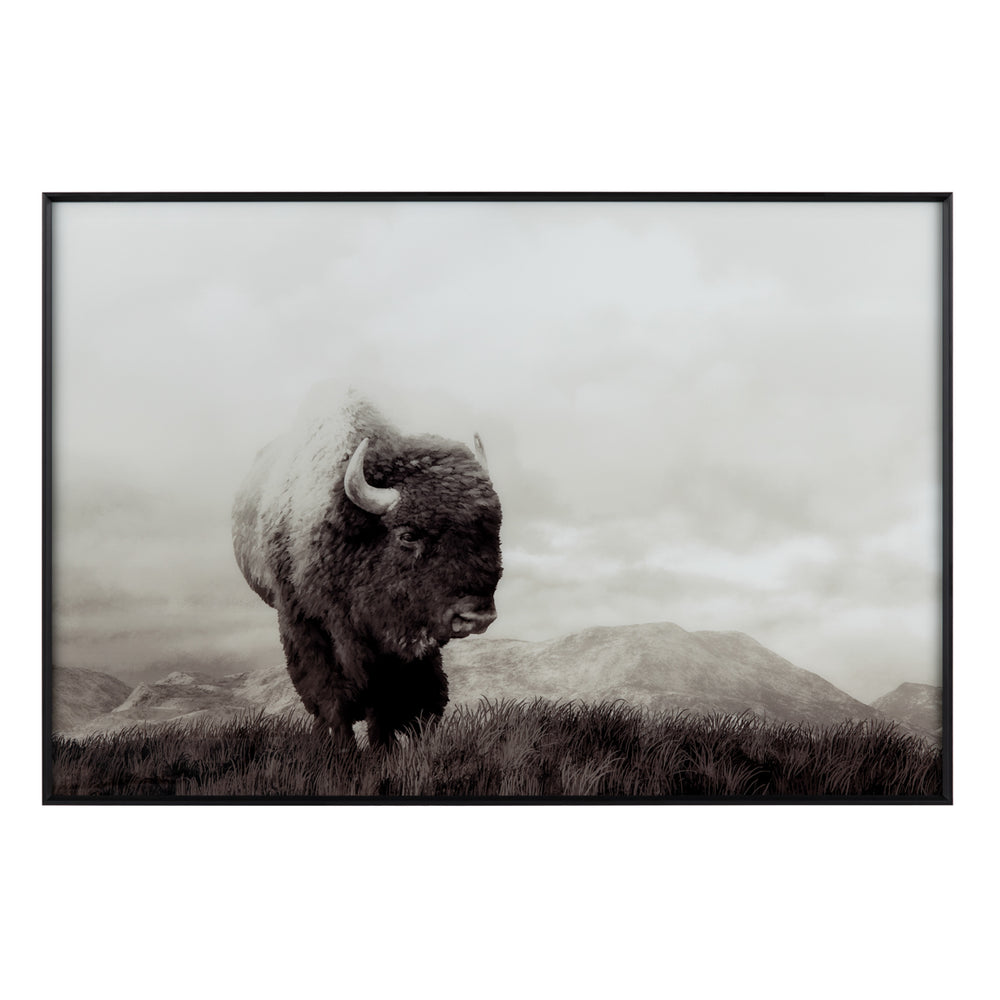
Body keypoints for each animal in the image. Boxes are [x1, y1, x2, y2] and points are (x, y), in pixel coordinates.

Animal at [232, 390, 502, 748]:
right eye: (408, 535)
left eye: (493, 530)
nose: (477, 615)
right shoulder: (306, 623)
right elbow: (332, 697)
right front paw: (346, 749)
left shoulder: (395, 648)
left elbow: (388, 702)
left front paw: (384, 748)